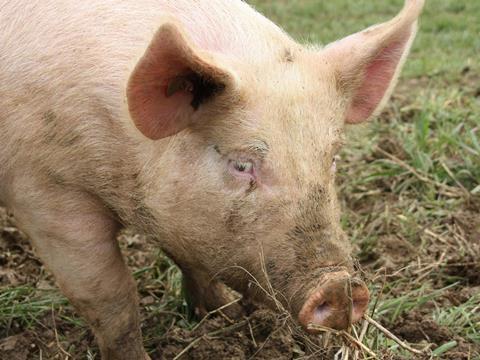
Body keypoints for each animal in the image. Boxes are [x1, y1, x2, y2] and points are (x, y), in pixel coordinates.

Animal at [0, 0, 424, 358]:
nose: (339, 286)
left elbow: (190, 258)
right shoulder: (45, 190)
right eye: (241, 164)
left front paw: (226, 313)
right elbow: (111, 298)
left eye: (332, 157)